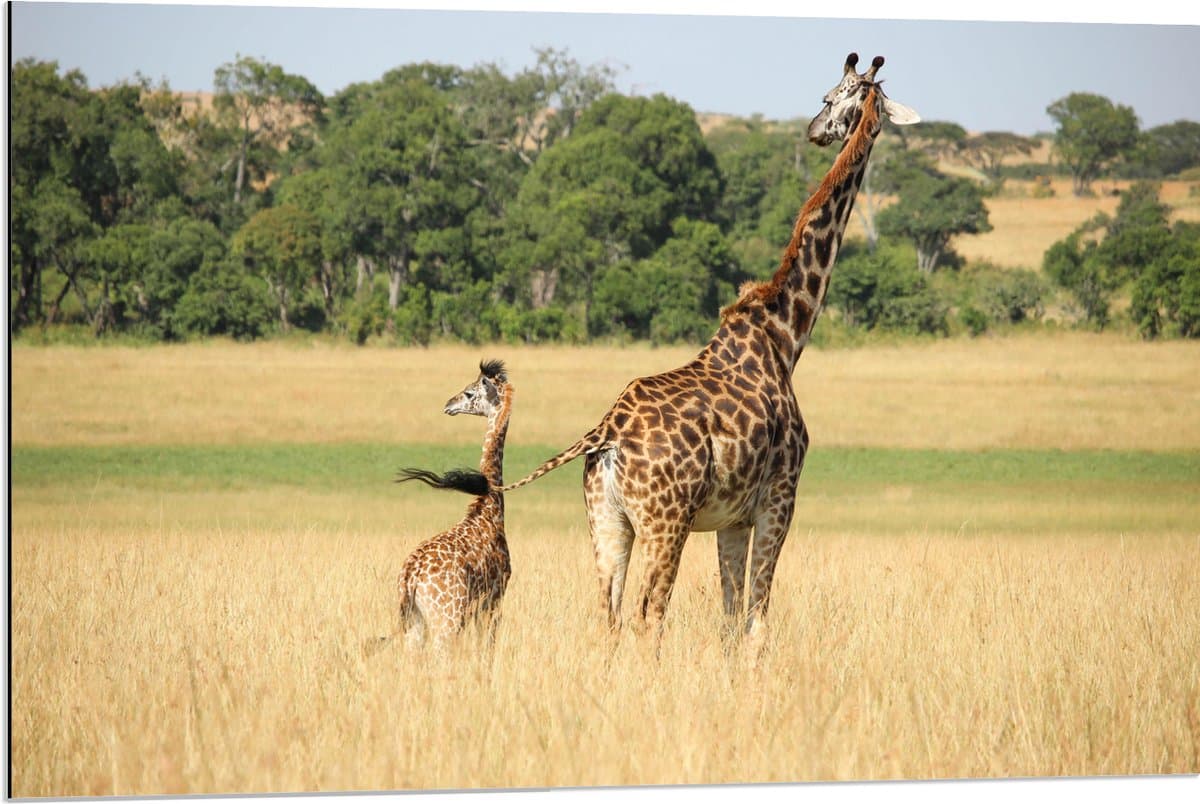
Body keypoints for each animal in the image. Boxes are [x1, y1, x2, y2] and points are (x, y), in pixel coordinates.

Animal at [366, 359, 514, 655]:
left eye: (469, 393)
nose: (448, 404)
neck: (489, 508)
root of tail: (410, 578)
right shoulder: (494, 598)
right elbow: (486, 649)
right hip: (446, 619)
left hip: (416, 622)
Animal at [498, 53, 919, 643]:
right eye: (829, 96)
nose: (815, 131)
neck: (785, 335)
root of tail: (604, 433)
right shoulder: (780, 498)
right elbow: (757, 618)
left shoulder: (732, 518)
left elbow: (730, 617)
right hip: (665, 521)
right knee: (649, 614)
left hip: (606, 520)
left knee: (609, 614)